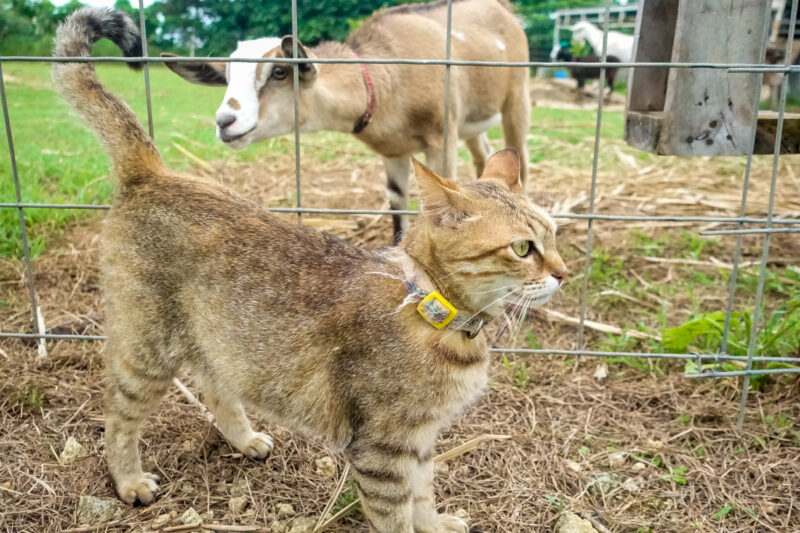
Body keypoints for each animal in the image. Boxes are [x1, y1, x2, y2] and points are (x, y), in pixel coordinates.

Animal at [162, 0, 528, 241]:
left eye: (279, 72)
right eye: (226, 79)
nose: (226, 122)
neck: (389, 79)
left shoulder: (442, 136)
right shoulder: (393, 150)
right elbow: (397, 202)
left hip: (515, 95)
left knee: (519, 153)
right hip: (473, 121)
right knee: (486, 155)